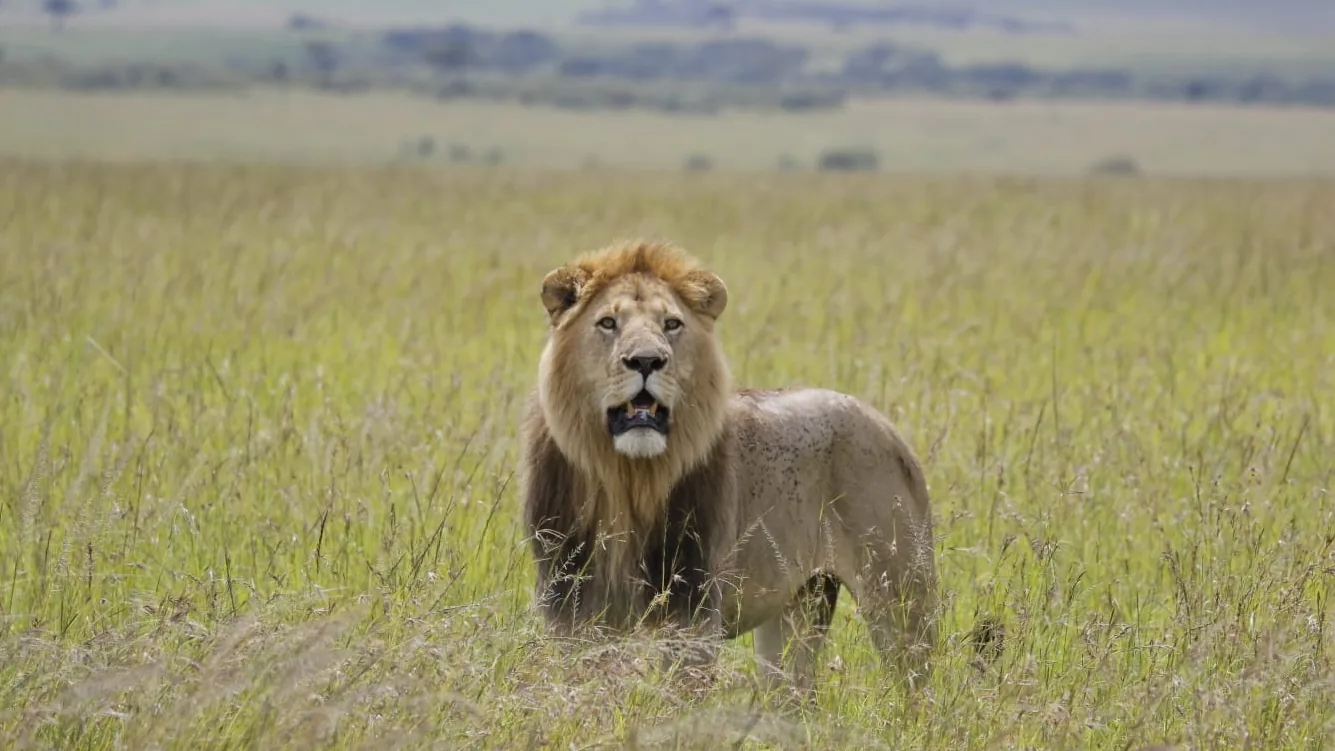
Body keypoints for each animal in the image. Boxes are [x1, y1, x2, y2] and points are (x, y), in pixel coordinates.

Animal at [520, 239, 938, 696]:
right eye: (608, 323)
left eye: (671, 324)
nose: (647, 361)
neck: (627, 479)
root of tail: (885, 425)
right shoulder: (572, 611)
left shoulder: (691, 611)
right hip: (799, 605)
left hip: (900, 595)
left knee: (918, 684)